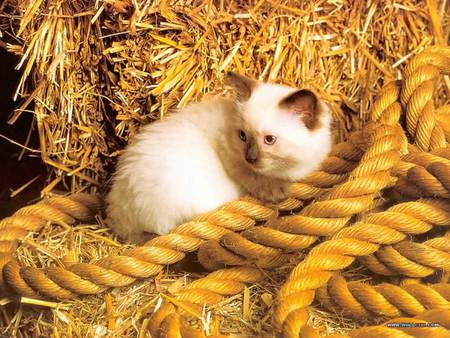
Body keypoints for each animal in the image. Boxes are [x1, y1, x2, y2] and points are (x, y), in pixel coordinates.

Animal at [105, 73, 330, 243]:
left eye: (269, 140)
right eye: (243, 136)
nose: (250, 157)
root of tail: (120, 214)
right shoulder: (233, 159)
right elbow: (256, 179)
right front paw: (277, 193)